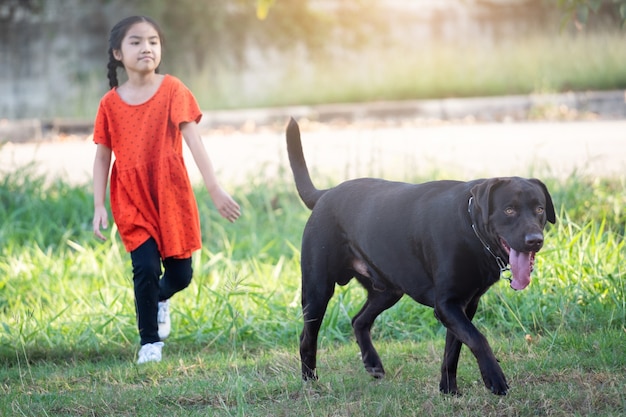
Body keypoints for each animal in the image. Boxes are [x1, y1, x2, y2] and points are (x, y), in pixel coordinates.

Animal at [286, 117, 552, 394]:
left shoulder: (464, 305)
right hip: (317, 289)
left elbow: (453, 350)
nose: (535, 241)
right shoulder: (447, 305)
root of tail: (325, 194)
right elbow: (478, 339)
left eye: (539, 209)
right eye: (509, 210)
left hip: (388, 289)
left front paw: (448, 391)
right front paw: (494, 378)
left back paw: (373, 363)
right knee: (307, 337)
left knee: (359, 320)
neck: (470, 226)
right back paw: (310, 381)